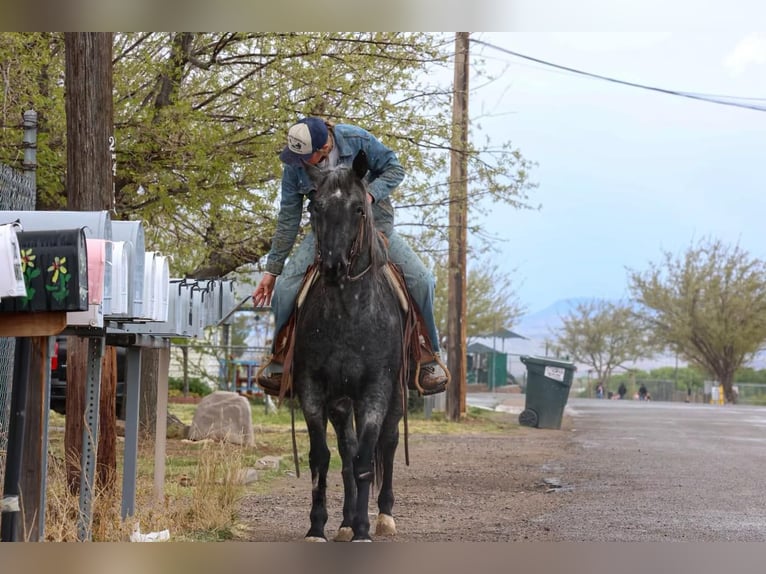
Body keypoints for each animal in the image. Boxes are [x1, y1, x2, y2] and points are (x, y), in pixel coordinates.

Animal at [288, 150, 413, 542]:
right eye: (315, 207)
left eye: (359, 208)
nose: (332, 266)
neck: (348, 316)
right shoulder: (314, 390)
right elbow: (323, 457)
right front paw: (319, 526)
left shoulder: (376, 390)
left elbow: (365, 461)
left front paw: (362, 529)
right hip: (343, 402)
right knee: (347, 450)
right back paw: (344, 522)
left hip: (396, 397)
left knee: (386, 445)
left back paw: (383, 516)